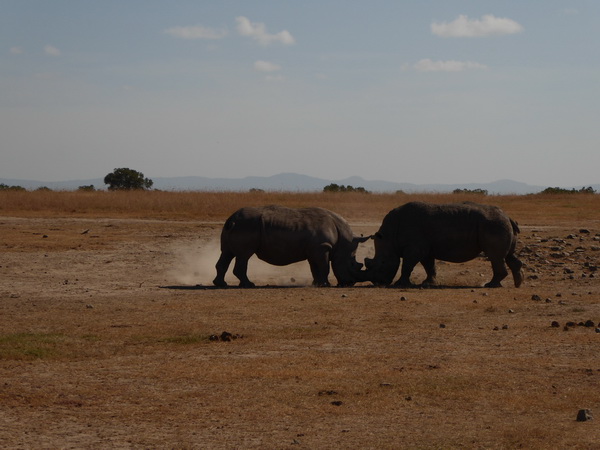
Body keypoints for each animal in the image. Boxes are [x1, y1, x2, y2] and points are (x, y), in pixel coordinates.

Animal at [213, 205, 368, 288]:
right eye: (352, 263)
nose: (349, 283)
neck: (343, 240)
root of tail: (231, 219)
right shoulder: (322, 247)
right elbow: (324, 266)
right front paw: (325, 285)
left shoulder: (315, 249)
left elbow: (314, 268)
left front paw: (316, 283)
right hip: (246, 225)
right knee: (244, 256)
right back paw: (249, 285)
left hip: (236, 226)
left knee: (227, 253)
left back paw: (221, 284)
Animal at [364, 201, 524, 288]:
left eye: (382, 263)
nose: (377, 282)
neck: (389, 237)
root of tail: (508, 217)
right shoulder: (425, 248)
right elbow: (429, 266)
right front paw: (428, 283)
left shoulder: (415, 248)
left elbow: (407, 266)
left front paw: (400, 284)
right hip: (499, 224)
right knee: (507, 255)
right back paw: (518, 284)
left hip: (494, 224)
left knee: (495, 256)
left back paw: (490, 285)